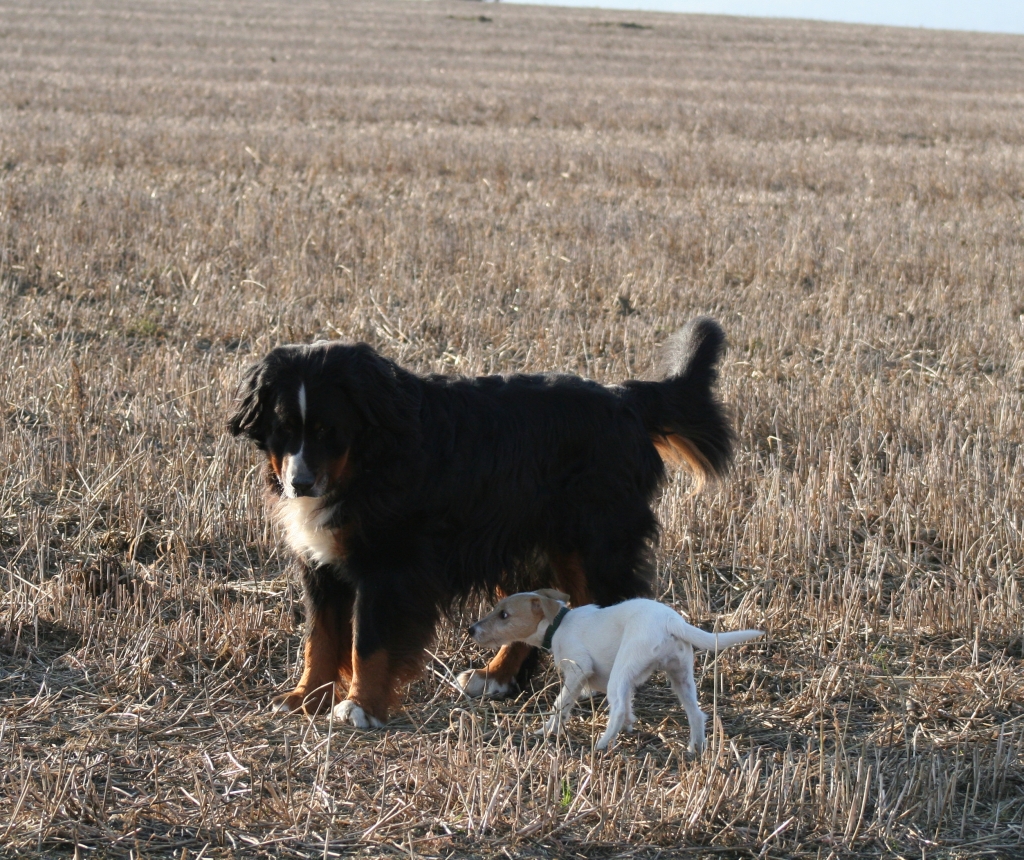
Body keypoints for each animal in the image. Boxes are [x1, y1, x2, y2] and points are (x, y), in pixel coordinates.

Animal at [228, 315, 733, 724]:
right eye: (283, 429)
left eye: (329, 431)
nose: (300, 483)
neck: (369, 461)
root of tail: (624, 398)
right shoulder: (321, 564)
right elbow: (321, 636)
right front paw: (306, 696)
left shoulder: (391, 565)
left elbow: (368, 642)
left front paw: (360, 706)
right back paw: (496, 677)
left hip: (594, 543)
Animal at [462, 589, 761, 749]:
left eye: (504, 615)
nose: (471, 629)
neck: (558, 623)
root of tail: (671, 621)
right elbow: (628, 704)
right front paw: (630, 724)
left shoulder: (578, 669)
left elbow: (561, 705)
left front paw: (547, 730)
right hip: (681, 677)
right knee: (697, 714)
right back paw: (694, 748)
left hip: (622, 670)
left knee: (615, 709)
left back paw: (603, 743)